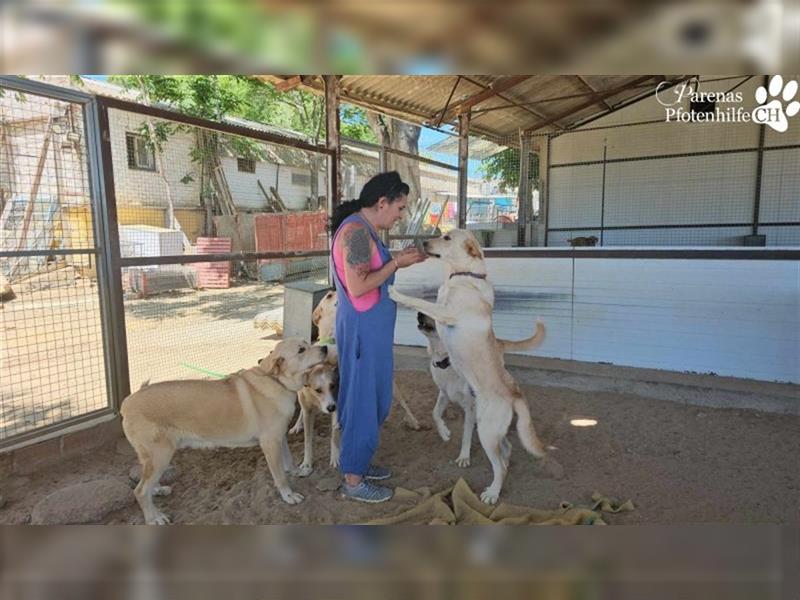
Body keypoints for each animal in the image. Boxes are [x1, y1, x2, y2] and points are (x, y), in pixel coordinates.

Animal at [118, 338, 328, 524]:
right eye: (301, 350)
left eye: (307, 342)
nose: (325, 347)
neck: (277, 381)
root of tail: (127, 402)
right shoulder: (270, 443)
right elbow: (280, 476)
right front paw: (288, 495)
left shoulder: (280, 437)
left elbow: (288, 461)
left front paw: (296, 472)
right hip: (161, 455)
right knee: (140, 491)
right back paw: (154, 517)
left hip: (155, 457)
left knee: (146, 483)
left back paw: (158, 490)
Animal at [390, 230, 560, 506]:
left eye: (447, 238)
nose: (423, 242)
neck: (463, 276)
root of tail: (514, 394)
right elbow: (435, 413)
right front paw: (445, 432)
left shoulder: (445, 313)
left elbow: (419, 301)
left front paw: (395, 293)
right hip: (489, 428)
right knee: (506, 452)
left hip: (486, 430)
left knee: (499, 465)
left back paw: (492, 494)